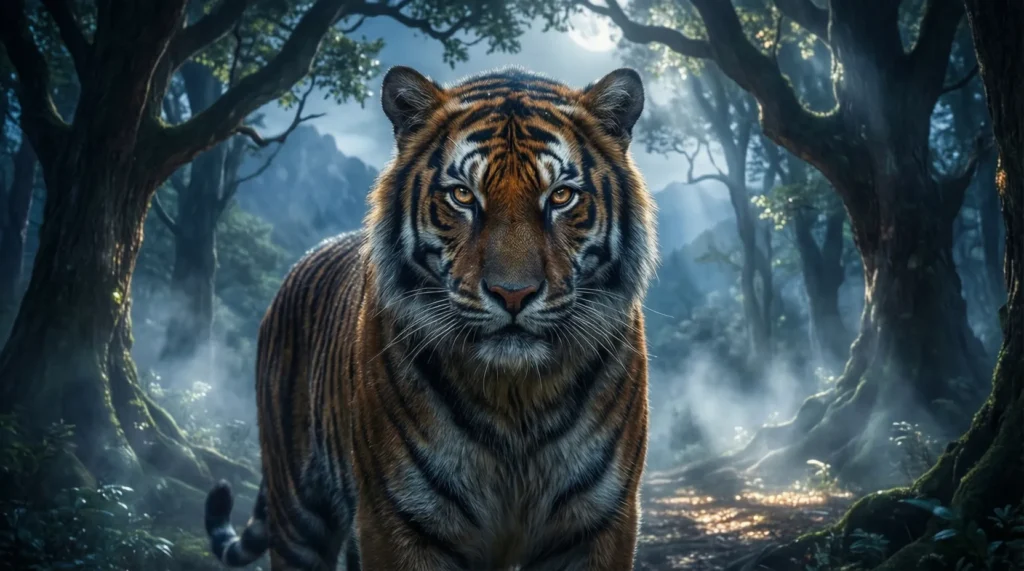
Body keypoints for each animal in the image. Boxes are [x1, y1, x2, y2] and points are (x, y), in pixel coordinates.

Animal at [203, 64, 658, 571]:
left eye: (560, 197)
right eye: (463, 195)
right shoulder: (397, 521)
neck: (516, 399)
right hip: (299, 514)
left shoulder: (599, 523)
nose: (513, 293)